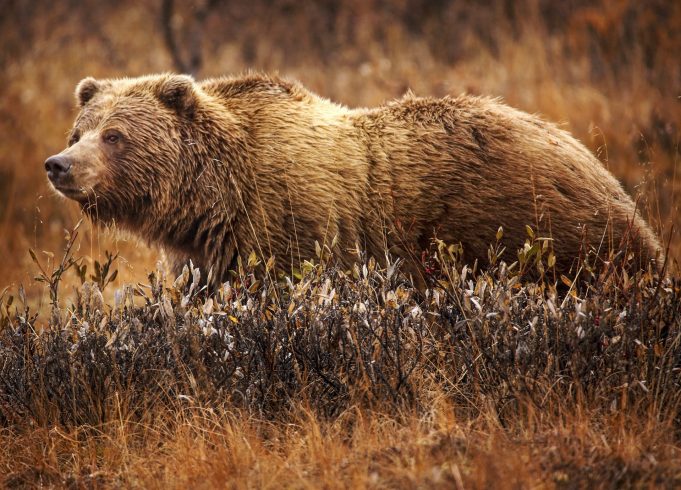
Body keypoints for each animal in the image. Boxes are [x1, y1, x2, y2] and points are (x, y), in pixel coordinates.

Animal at [44, 73, 662, 286]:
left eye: (115, 136)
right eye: (80, 129)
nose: (59, 164)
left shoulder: (291, 227)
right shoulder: (209, 253)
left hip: (540, 231)